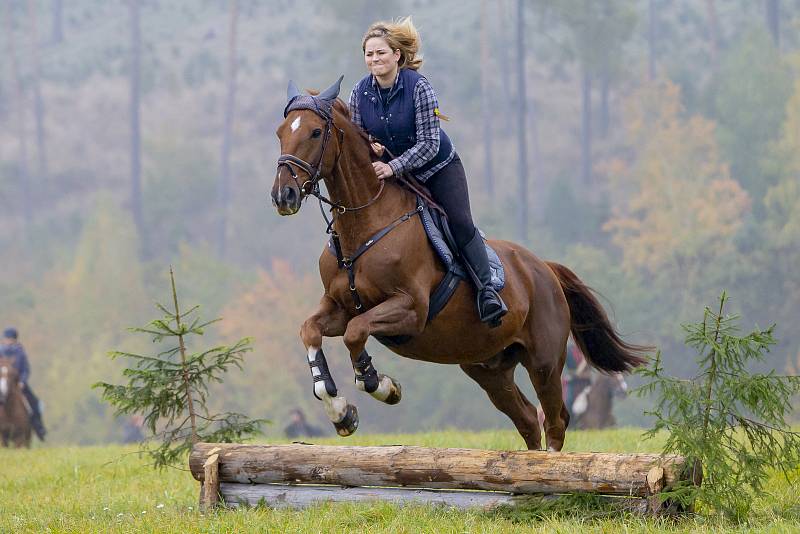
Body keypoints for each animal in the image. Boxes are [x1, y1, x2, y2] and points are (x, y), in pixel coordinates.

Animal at [268, 76, 648, 452]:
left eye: (316, 132)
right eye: (281, 131)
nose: (283, 195)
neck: (366, 225)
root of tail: (545, 268)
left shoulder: (411, 309)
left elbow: (356, 332)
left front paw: (383, 386)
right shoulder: (339, 306)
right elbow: (311, 330)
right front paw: (340, 411)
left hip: (544, 360)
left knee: (555, 421)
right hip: (488, 366)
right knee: (527, 418)